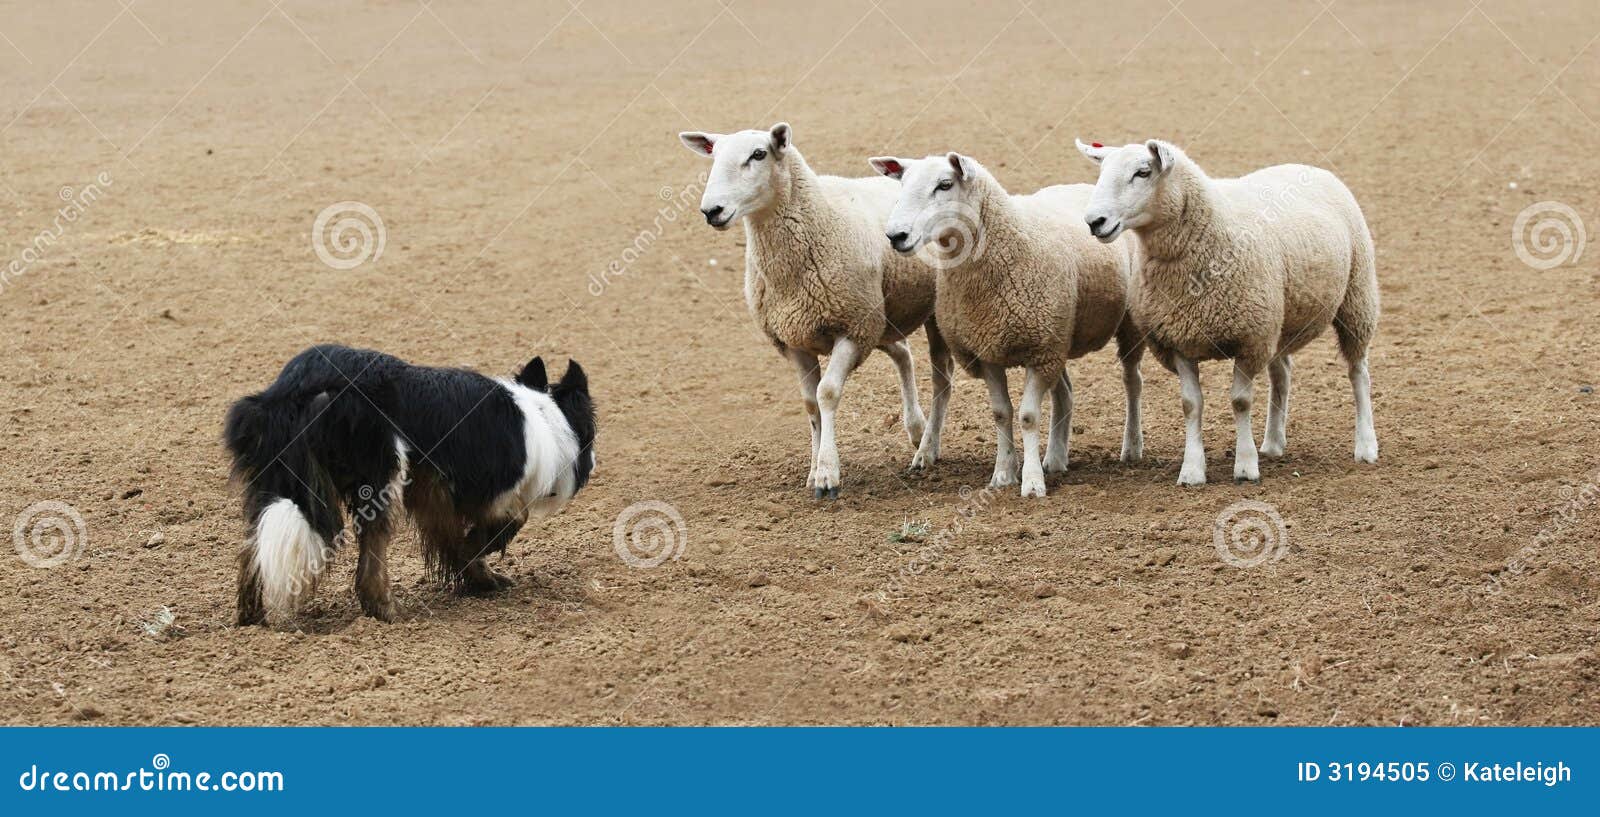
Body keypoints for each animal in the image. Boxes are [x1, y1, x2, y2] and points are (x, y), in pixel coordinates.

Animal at [678, 123, 951, 499]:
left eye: (758, 154)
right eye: (714, 156)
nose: (711, 210)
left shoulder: (851, 329)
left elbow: (827, 394)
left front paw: (827, 474)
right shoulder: (795, 339)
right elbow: (810, 404)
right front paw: (812, 470)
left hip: (917, 316)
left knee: (941, 377)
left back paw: (927, 448)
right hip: (881, 317)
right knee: (902, 354)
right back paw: (915, 428)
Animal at [869, 152, 1145, 498]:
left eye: (944, 184)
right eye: (902, 183)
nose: (896, 236)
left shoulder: (1039, 351)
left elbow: (1027, 416)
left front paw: (1031, 482)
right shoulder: (990, 350)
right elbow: (1001, 413)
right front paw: (1003, 474)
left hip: (1121, 327)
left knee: (1132, 381)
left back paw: (1131, 447)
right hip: (1058, 336)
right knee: (1065, 393)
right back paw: (1056, 458)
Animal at [1075, 138, 1379, 486]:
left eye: (1142, 172)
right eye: (1101, 172)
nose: (1094, 221)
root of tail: (1308, 167)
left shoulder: (1249, 339)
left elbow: (1240, 401)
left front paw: (1245, 466)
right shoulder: (1179, 340)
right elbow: (1191, 405)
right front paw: (1192, 470)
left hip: (1357, 297)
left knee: (1358, 372)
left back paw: (1366, 445)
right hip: (1279, 320)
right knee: (1282, 374)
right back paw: (1273, 443)